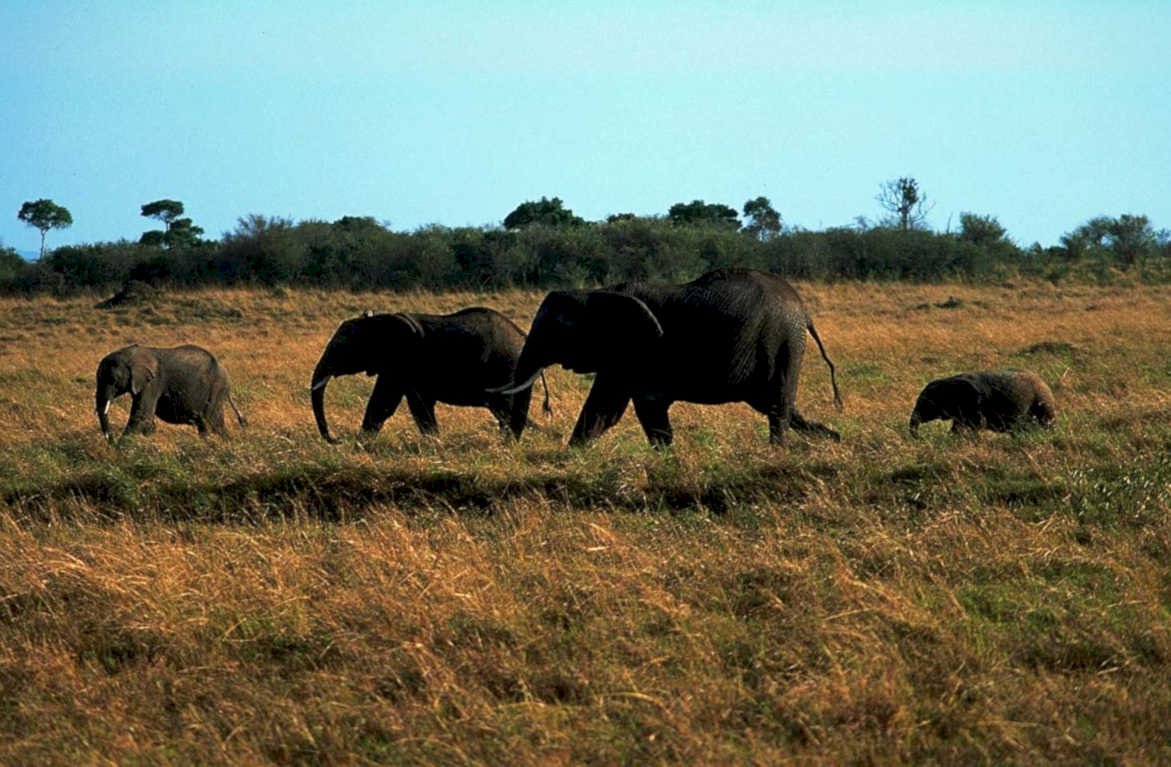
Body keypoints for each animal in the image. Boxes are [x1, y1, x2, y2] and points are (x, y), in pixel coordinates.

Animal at [96, 344, 245, 442]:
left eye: (113, 380)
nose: (111, 440)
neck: (130, 354)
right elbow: (147, 419)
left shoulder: (153, 382)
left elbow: (142, 415)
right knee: (211, 423)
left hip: (216, 389)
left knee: (210, 421)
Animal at [309, 307, 549, 444]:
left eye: (340, 347)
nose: (337, 439)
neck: (378, 321)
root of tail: (523, 335)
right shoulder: (396, 365)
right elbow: (387, 404)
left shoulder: (405, 361)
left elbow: (398, 404)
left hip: (506, 368)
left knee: (504, 410)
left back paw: (508, 444)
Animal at [498, 268, 842, 447]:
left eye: (556, 328)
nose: (511, 448)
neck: (594, 293)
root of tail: (805, 312)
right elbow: (605, 410)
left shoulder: (637, 351)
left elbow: (629, 407)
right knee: (779, 406)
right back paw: (832, 439)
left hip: (782, 342)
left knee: (777, 408)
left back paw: (779, 452)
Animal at [909, 368, 1056, 436]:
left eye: (928, 404)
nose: (919, 437)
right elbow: (958, 426)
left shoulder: (977, 405)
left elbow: (976, 425)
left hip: (1042, 403)